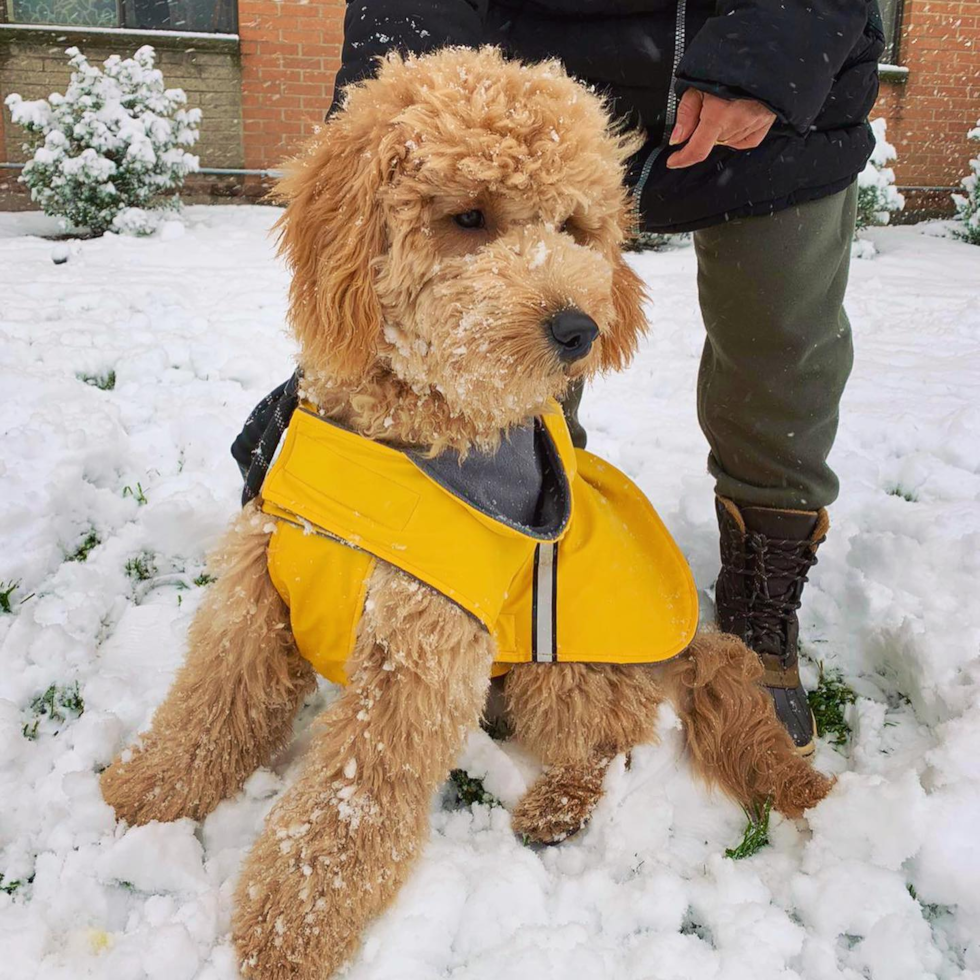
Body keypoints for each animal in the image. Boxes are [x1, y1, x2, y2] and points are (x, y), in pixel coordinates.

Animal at [99, 46, 832, 980]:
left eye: (573, 226)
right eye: (470, 217)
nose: (580, 327)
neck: (393, 447)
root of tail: (690, 647)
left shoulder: (415, 651)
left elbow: (347, 805)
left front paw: (291, 928)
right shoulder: (256, 600)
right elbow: (208, 709)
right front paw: (147, 790)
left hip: (566, 669)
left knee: (611, 739)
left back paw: (558, 804)